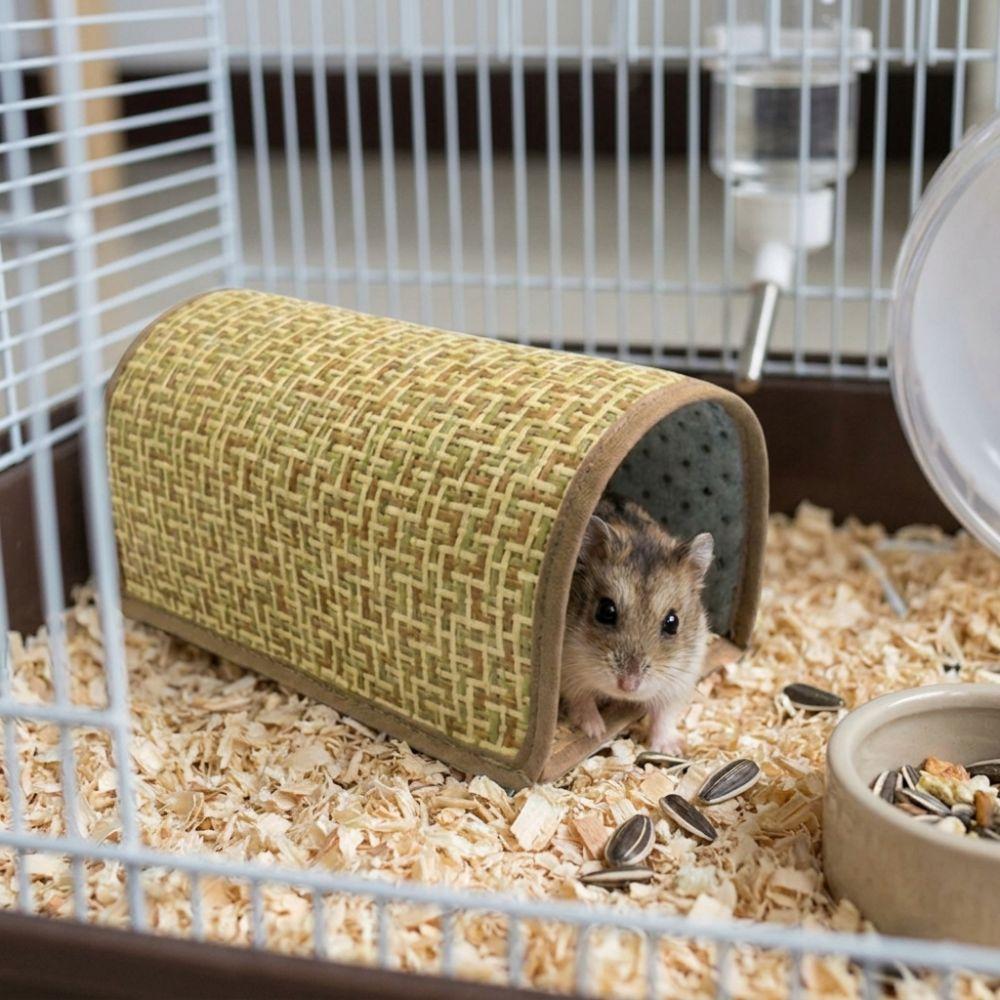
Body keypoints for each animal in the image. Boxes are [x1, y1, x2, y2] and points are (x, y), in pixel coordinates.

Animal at [561, 495, 714, 754]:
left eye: (672, 622)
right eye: (606, 611)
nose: (628, 685)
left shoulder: (680, 680)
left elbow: (664, 715)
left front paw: (669, 749)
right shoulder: (569, 670)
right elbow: (582, 700)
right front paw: (595, 731)